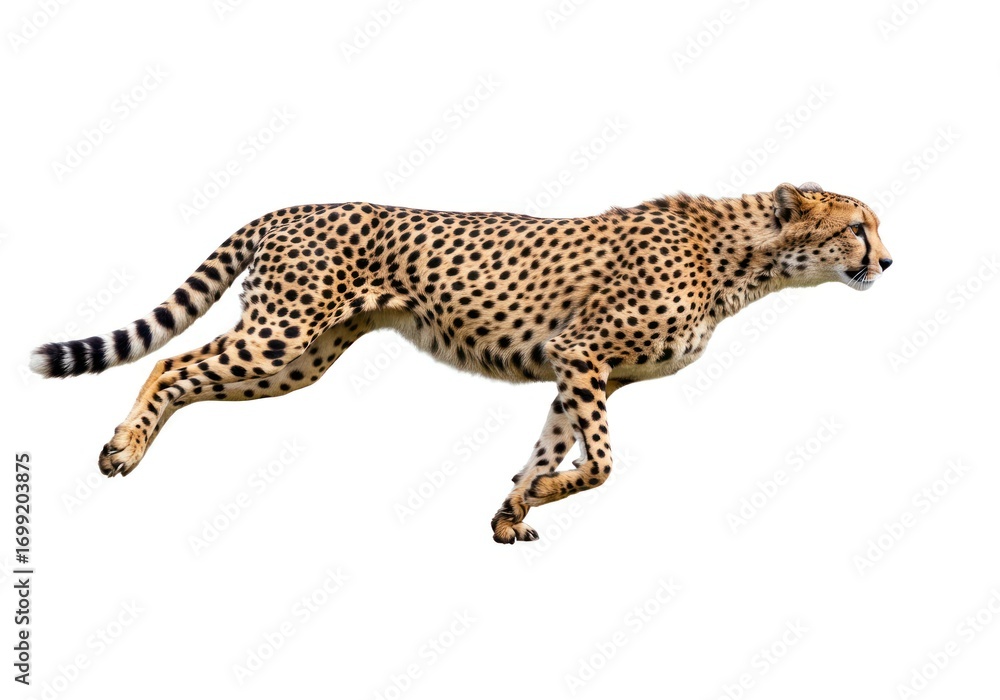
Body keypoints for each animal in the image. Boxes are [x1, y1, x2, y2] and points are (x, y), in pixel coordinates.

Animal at [30, 182, 892, 544]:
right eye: (858, 227)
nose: (887, 261)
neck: (747, 256)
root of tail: (290, 206)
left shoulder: (579, 374)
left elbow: (549, 446)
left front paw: (514, 509)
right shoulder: (584, 355)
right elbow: (602, 464)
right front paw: (535, 496)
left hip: (301, 357)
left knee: (186, 374)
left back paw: (128, 445)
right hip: (283, 331)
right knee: (170, 363)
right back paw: (122, 447)